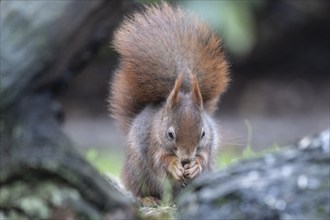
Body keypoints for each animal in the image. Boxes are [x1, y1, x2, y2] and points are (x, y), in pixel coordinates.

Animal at [109, 1, 228, 205]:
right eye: (170, 134)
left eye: (203, 133)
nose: (186, 159)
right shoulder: (153, 143)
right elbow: (161, 161)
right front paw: (174, 166)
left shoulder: (207, 146)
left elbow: (203, 157)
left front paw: (195, 165)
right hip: (137, 172)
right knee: (138, 189)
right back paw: (148, 199)